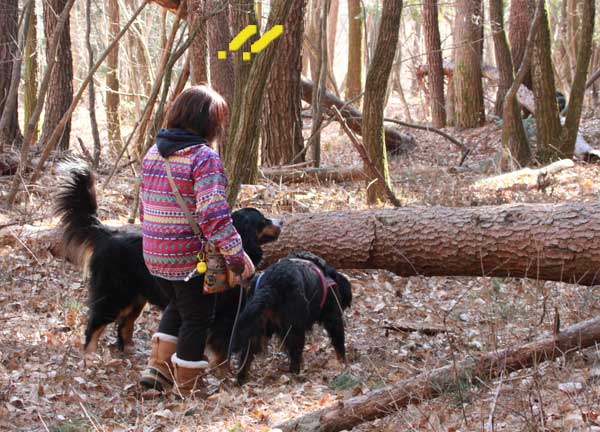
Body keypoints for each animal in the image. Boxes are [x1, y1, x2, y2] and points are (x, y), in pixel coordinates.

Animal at [55, 163, 281, 357]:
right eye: (263, 221)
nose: (281, 222)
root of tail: (108, 234)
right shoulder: (219, 316)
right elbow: (218, 350)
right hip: (115, 294)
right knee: (96, 323)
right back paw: (90, 355)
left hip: (137, 297)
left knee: (124, 325)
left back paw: (129, 350)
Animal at [231, 251, 352, 384]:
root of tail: (270, 284)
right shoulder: (333, 317)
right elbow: (339, 344)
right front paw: (343, 364)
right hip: (295, 328)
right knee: (295, 356)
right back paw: (297, 376)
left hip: (255, 327)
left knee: (245, 356)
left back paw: (242, 380)